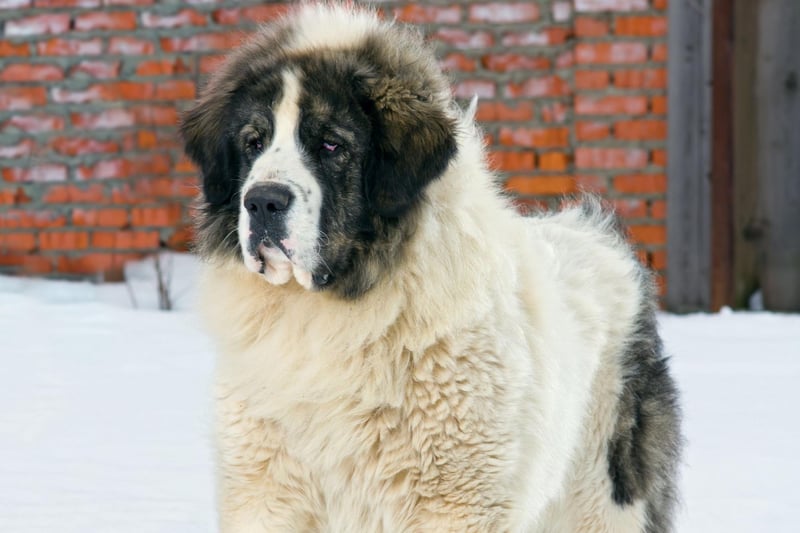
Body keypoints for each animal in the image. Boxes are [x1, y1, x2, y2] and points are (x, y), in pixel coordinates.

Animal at [181, 3, 680, 528]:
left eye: (331, 145)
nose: (263, 201)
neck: (331, 317)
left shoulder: (455, 502)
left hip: (605, 496)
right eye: (253, 143)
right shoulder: (266, 494)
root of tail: (601, 236)